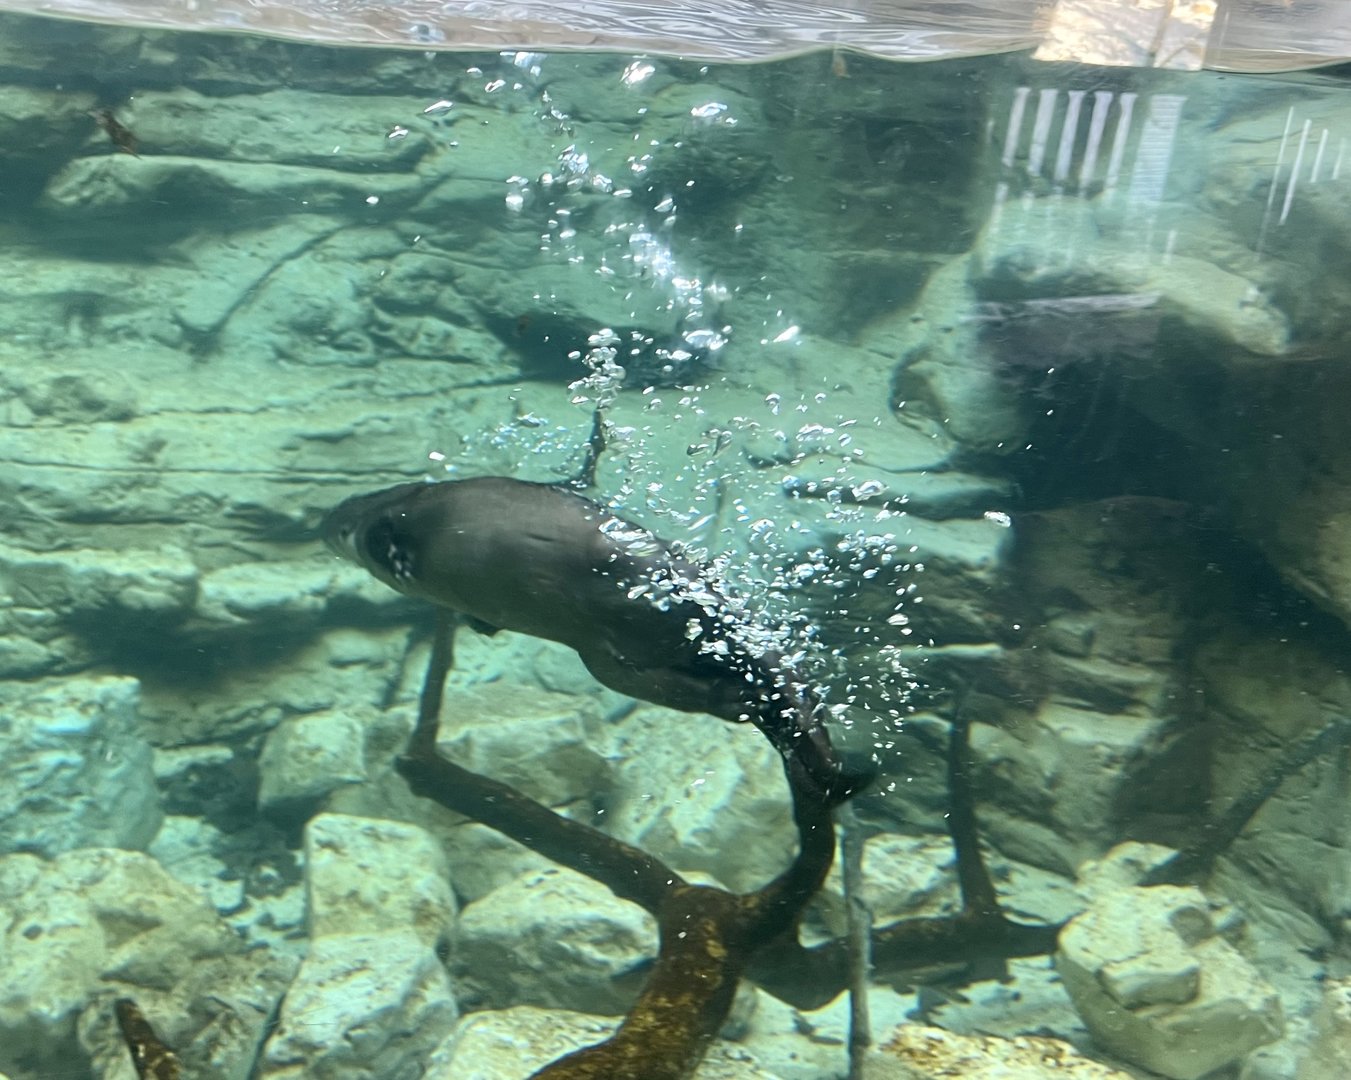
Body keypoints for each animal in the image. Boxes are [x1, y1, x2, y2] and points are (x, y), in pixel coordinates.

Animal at [323, 477, 866, 802]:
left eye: (338, 523)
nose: (323, 523)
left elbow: (391, 540)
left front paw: (394, 557)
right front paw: (477, 622)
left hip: (639, 601)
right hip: (609, 664)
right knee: (702, 689)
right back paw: (749, 703)